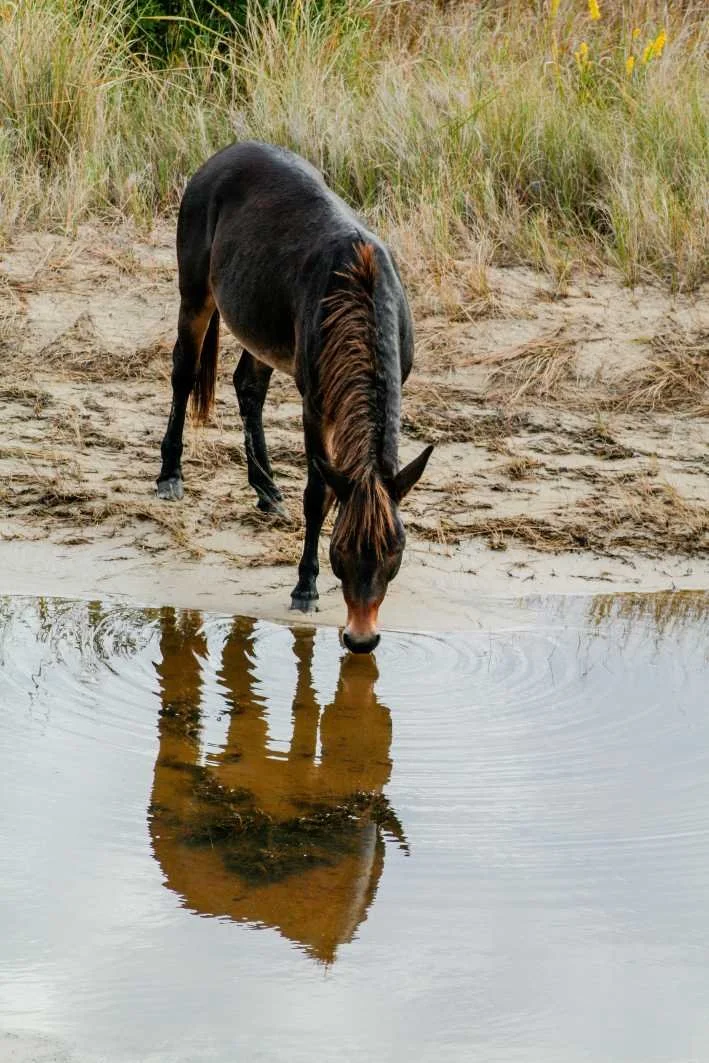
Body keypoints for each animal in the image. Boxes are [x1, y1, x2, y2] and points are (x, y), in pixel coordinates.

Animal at [156, 141, 432, 653]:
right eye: (340, 549)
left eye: (396, 550)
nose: (361, 640)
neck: (359, 290)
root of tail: (223, 154)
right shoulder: (315, 405)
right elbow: (318, 493)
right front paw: (305, 587)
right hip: (196, 292)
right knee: (183, 372)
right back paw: (170, 476)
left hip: (257, 326)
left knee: (248, 386)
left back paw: (266, 490)